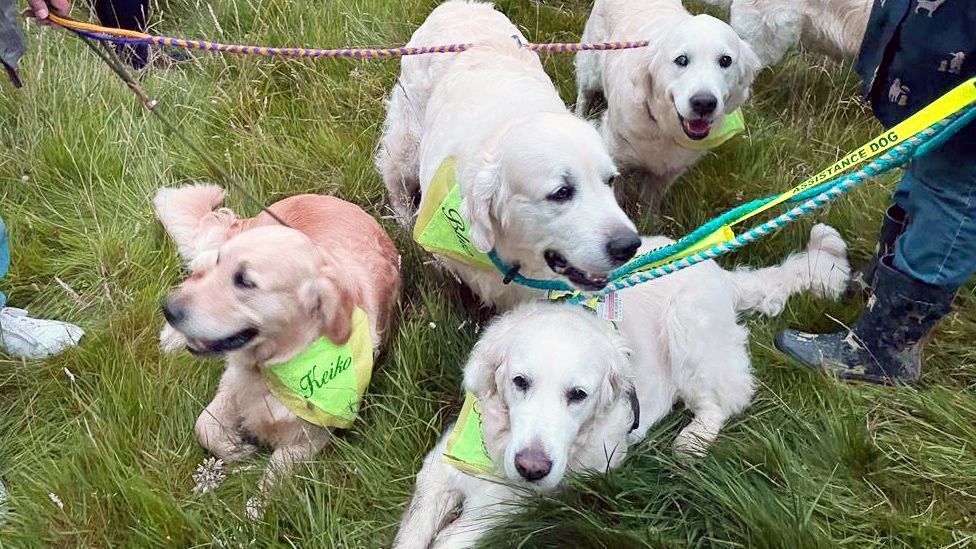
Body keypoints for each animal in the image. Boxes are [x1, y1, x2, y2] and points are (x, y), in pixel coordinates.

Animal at [154, 184, 398, 496]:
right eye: (223, 264)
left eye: (245, 281)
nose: (169, 308)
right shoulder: (232, 383)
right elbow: (204, 425)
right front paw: (235, 447)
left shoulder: (310, 438)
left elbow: (271, 480)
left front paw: (254, 501)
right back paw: (171, 338)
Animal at [376, 0, 640, 310]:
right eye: (561, 193)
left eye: (609, 181)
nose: (629, 245)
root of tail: (457, 5)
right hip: (407, 142)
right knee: (396, 182)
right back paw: (405, 220)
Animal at [392, 224, 852, 548]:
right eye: (520, 382)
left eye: (578, 395)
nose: (531, 468)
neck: (494, 449)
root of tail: (716, 269)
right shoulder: (438, 471)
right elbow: (413, 533)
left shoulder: (511, 506)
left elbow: (453, 537)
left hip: (689, 327)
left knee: (725, 398)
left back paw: (692, 440)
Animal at [576, 0, 768, 203]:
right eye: (681, 59)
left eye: (725, 60)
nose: (704, 103)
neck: (663, 128)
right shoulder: (617, 158)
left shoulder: (667, 174)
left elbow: (649, 203)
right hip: (591, 70)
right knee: (583, 93)